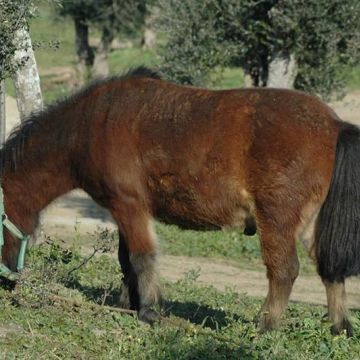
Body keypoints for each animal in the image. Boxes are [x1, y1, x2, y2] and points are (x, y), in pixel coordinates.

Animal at [0, 67, 360, 334]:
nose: (6, 282)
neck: (91, 124)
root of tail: (334, 123)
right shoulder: (123, 210)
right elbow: (126, 259)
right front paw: (127, 304)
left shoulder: (128, 205)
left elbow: (141, 257)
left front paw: (148, 311)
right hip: (308, 225)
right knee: (329, 270)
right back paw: (339, 328)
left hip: (277, 218)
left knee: (284, 271)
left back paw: (265, 328)